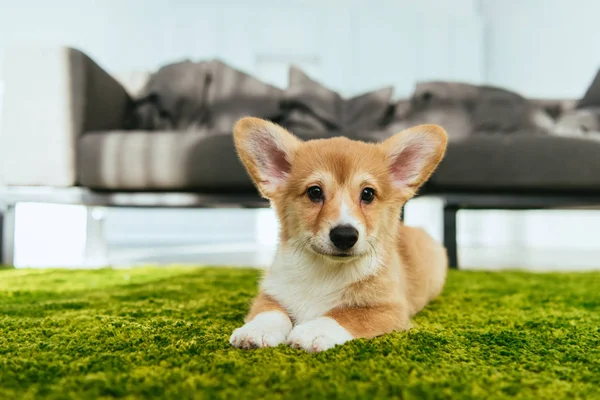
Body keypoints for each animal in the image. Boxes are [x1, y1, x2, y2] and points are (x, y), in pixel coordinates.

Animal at [230, 117, 450, 352]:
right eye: (314, 192)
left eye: (368, 193)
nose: (344, 235)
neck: (325, 271)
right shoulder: (270, 292)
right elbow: (269, 311)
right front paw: (256, 330)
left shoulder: (390, 309)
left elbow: (346, 315)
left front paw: (312, 332)